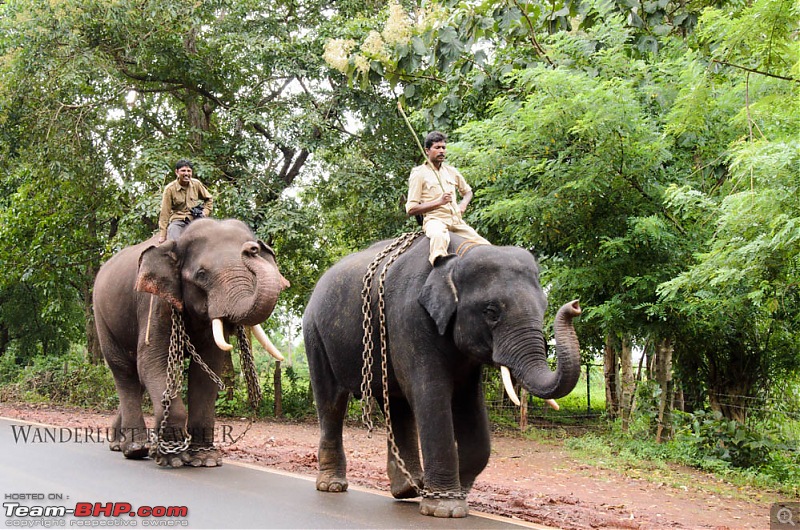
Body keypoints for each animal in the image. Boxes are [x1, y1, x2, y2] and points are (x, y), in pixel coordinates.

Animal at [93, 219, 290, 466]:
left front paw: (205, 459)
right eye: (202, 274)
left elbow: (206, 371)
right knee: (124, 372)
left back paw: (118, 445)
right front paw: (173, 458)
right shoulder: (155, 302)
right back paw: (135, 450)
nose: (252, 248)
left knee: (137, 380)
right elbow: (153, 363)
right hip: (102, 318)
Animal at [302, 231, 580, 516]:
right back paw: (333, 486)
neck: (457, 258)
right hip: (315, 333)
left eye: (544, 307)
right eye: (491, 311)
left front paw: (455, 492)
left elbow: (468, 401)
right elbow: (430, 392)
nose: (575, 305)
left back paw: (407, 490)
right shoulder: (409, 317)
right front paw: (446, 508)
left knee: (395, 403)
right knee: (331, 402)